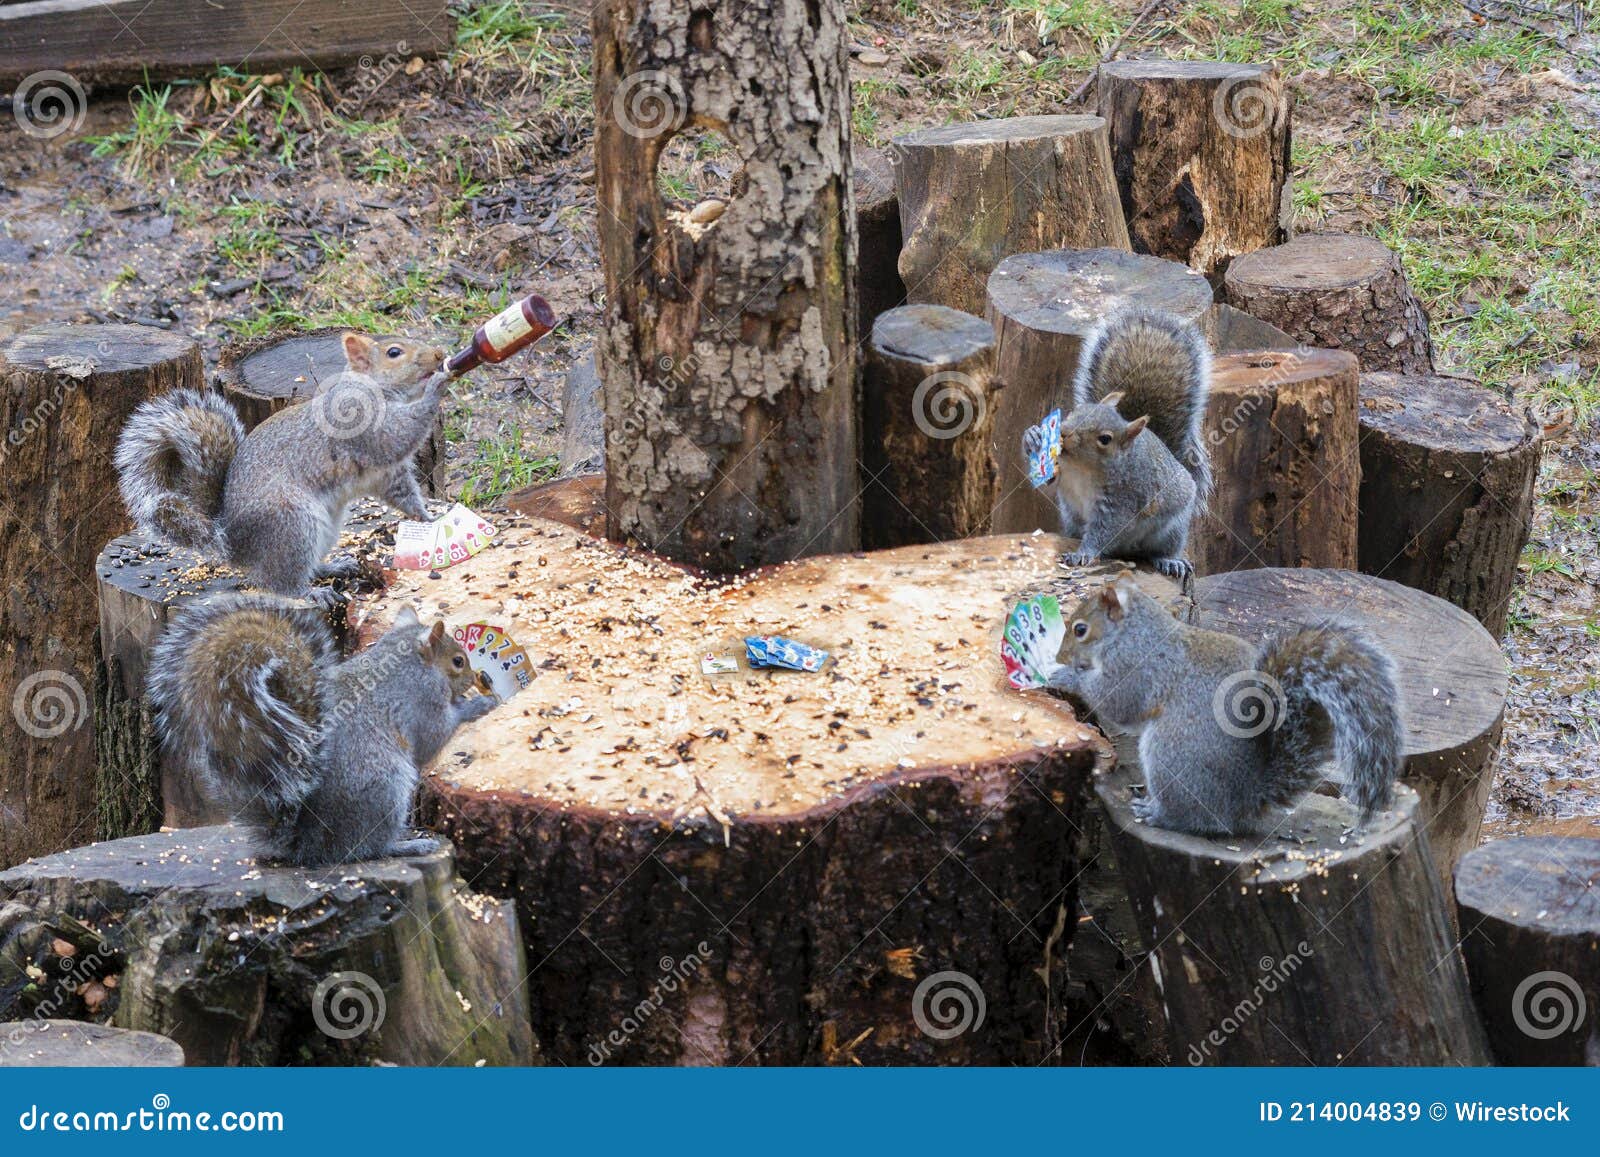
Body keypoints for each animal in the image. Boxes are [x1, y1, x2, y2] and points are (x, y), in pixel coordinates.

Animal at [115, 333, 447, 607]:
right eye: (394, 352)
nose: (440, 354)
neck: (372, 388)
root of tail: (234, 543)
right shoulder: (361, 423)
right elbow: (399, 434)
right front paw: (437, 387)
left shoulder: (388, 473)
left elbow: (404, 494)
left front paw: (428, 519)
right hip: (293, 523)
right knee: (280, 582)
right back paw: (312, 592)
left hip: (327, 526)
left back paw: (333, 566)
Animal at [147, 593, 499, 866]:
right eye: (457, 661)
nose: (475, 678)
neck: (406, 662)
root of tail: (305, 845)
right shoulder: (420, 703)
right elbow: (433, 738)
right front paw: (478, 704)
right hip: (385, 787)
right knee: (366, 849)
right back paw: (409, 844)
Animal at [1022, 307, 1211, 582]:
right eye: (1076, 411)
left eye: (1105, 439)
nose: (1063, 432)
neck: (1082, 469)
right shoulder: (1063, 473)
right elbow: (1048, 484)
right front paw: (1034, 438)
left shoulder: (1122, 499)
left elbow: (1105, 530)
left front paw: (1083, 554)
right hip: (1072, 519)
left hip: (1172, 529)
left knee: (1159, 549)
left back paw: (1169, 560)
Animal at [1048, 572, 1404, 837]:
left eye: (1080, 629)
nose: (1059, 656)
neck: (1132, 632)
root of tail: (1245, 802)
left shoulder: (1137, 666)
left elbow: (1119, 703)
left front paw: (1064, 676)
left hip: (1171, 754)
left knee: (1194, 820)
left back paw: (1156, 813)